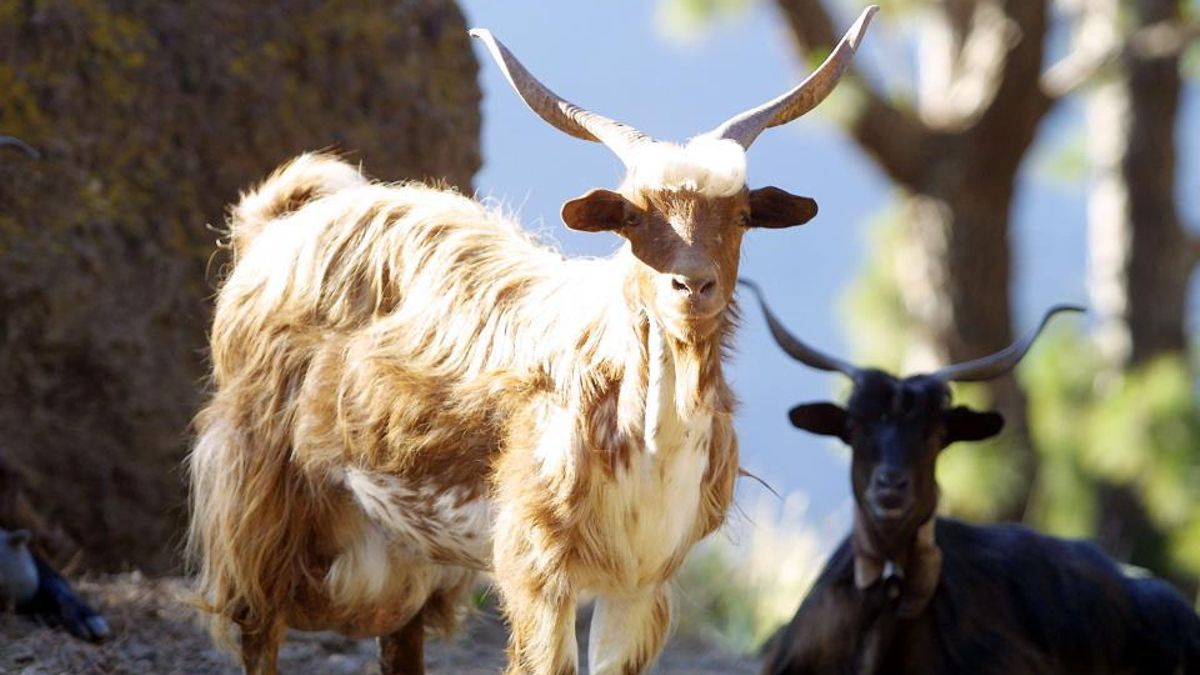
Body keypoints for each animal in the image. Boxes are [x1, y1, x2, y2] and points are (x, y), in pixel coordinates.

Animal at [188, 10, 877, 675]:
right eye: (632, 218)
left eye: (740, 216)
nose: (692, 285)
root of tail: (275, 225)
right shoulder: (536, 566)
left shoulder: (641, 580)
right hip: (258, 496)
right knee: (257, 626)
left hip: (406, 546)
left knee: (399, 639)